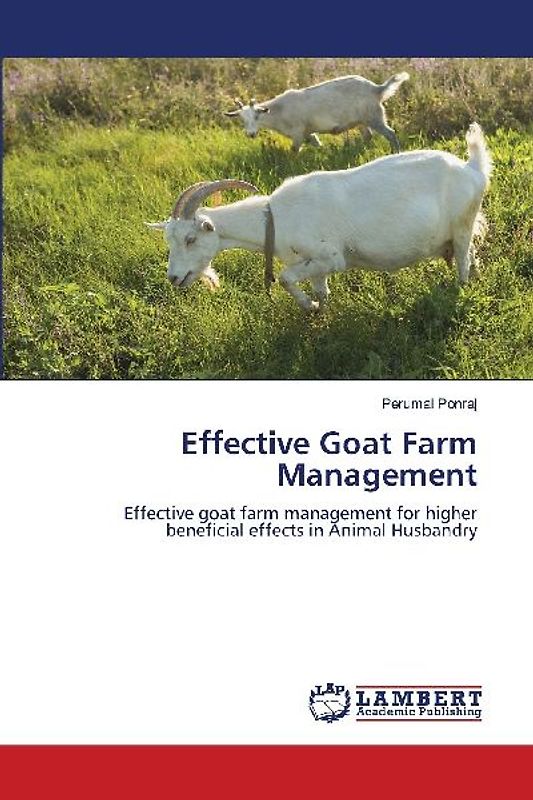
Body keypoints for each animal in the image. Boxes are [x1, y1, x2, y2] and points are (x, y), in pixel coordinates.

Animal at [146, 124, 492, 312]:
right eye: (169, 240)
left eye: (191, 238)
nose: (173, 278)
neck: (275, 218)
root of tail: (472, 168)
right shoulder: (314, 266)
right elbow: (319, 291)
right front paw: (318, 311)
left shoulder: (330, 257)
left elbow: (285, 278)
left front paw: (309, 308)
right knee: (471, 255)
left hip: (461, 225)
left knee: (463, 260)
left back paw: (460, 289)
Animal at [224, 73, 410, 153]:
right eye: (241, 119)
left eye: (257, 115)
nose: (251, 134)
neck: (278, 112)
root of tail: (376, 89)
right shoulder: (307, 133)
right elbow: (317, 144)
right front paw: (323, 154)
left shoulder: (298, 132)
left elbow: (294, 150)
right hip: (362, 120)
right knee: (368, 136)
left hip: (374, 116)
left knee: (390, 133)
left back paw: (396, 153)